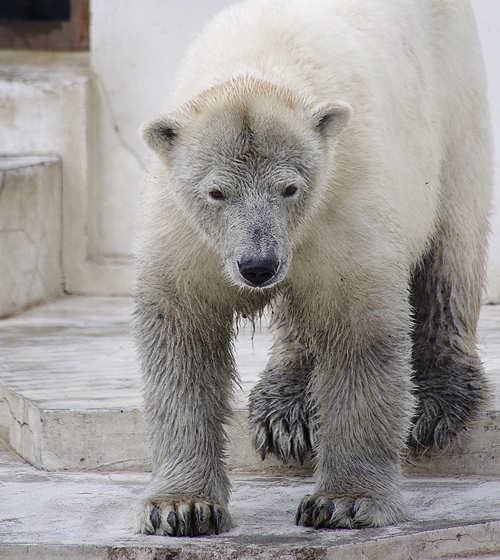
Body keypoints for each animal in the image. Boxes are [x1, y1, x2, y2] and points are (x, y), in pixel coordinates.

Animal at [130, 0, 492, 536]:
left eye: (290, 188)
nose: (257, 265)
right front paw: (181, 507)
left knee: (451, 246)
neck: (260, 67)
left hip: (454, 102)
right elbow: (181, 341)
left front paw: (344, 502)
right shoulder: (183, 233)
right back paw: (285, 411)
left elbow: (359, 333)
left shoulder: (345, 198)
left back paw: (438, 400)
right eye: (216, 191)